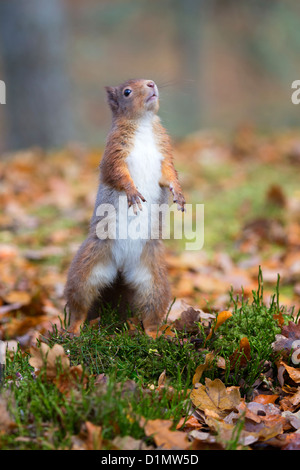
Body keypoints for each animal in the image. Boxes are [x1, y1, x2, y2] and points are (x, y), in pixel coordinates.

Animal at [64, 78, 184, 334]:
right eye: (127, 92)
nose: (151, 83)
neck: (143, 123)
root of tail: (120, 269)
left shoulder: (164, 153)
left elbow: (169, 174)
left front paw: (178, 193)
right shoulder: (114, 151)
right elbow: (117, 173)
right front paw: (132, 193)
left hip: (154, 281)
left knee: (151, 312)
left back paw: (153, 335)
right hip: (85, 271)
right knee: (78, 305)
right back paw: (74, 329)